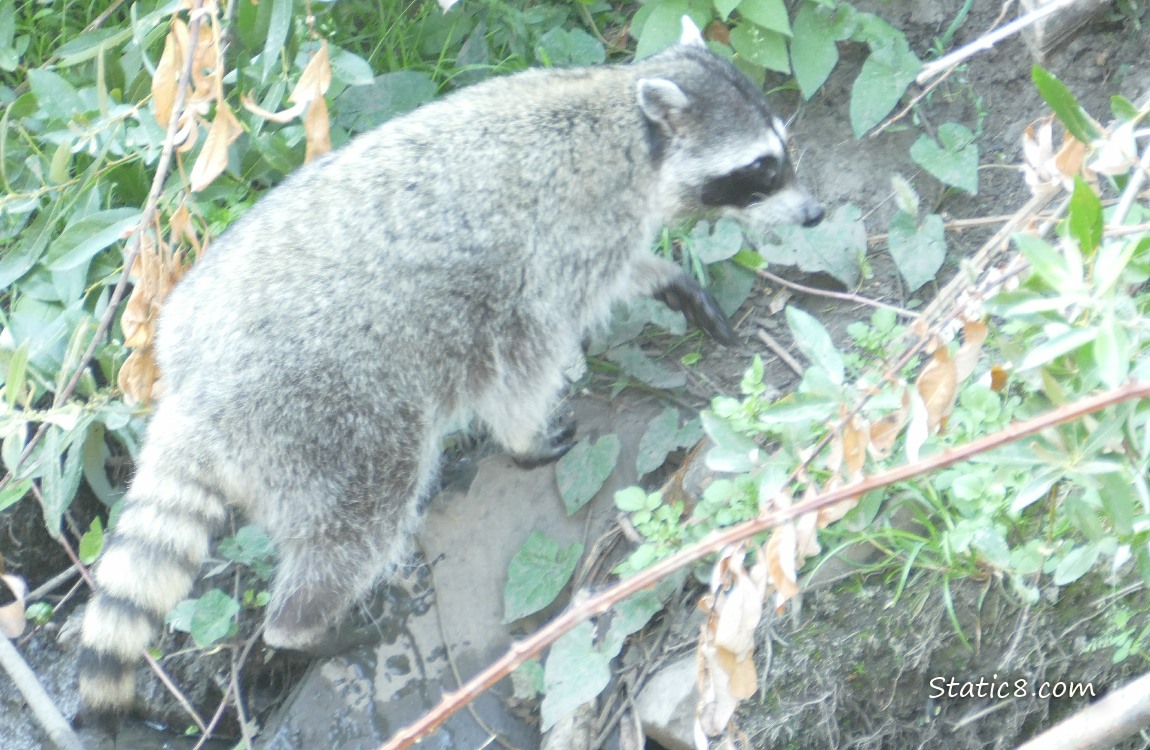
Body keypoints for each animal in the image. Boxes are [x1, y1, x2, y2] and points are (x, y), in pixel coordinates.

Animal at [77, 18, 822, 715]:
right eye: (763, 167)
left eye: (784, 149)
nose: (815, 212)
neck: (623, 121)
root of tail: (191, 386)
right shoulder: (557, 245)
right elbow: (529, 350)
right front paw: (523, 434)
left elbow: (618, 276)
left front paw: (666, 278)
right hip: (323, 416)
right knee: (363, 514)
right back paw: (305, 628)